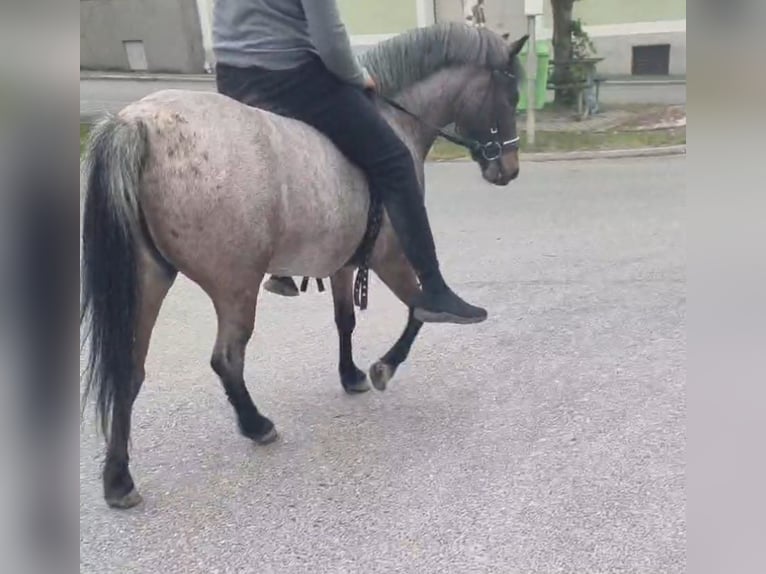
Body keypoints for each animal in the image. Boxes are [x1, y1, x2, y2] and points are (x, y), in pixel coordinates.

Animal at [80, 22, 528, 509]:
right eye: (510, 92)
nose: (509, 169)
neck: (397, 120)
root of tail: (139, 122)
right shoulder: (389, 257)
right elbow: (418, 311)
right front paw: (384, 366)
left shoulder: (343, 262)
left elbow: (345, 320)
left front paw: (351, 374)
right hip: (234, 286)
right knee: (226, 358)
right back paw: (256, 424)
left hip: (149, 279)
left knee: (129, 369)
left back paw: (118, 477)